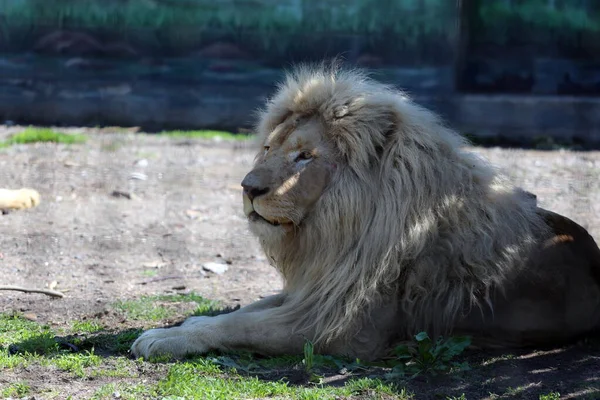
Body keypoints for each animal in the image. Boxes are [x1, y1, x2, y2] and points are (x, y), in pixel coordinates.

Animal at [131, 64, 600, 360]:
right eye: (268, 148)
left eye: (304, 157)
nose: (248, 188)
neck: (333, 231)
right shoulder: (318, 289)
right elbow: (243, 311)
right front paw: (185, 325)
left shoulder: (342, 329)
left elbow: (242, 327)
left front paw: (162, 339)